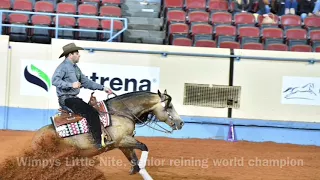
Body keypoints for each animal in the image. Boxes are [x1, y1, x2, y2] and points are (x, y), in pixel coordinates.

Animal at [31, 89, 185, 179]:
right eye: (170, 106)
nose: (181, 123)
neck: (120, 112)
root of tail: (35, 138)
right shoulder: (122, 140)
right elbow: (145, 147)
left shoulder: (124, 144)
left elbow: (135, 162)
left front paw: (136, 169)